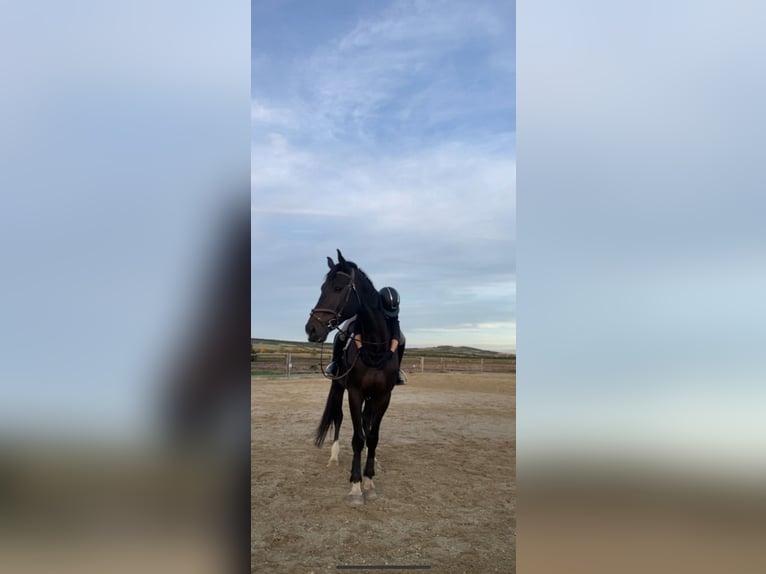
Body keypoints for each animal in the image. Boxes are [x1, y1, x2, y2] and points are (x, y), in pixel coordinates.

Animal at [305, 249, 399, 505]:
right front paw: (356, 486)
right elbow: (357, 437)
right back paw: (334, 457)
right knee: (337, 417)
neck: (375, 348)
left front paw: (370, 479)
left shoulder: (383, 396)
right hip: (339, 387)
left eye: (338, 288)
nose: (311, 329)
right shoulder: (354, 392)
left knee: (366, 425)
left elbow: (372, 436)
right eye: (322, 288)